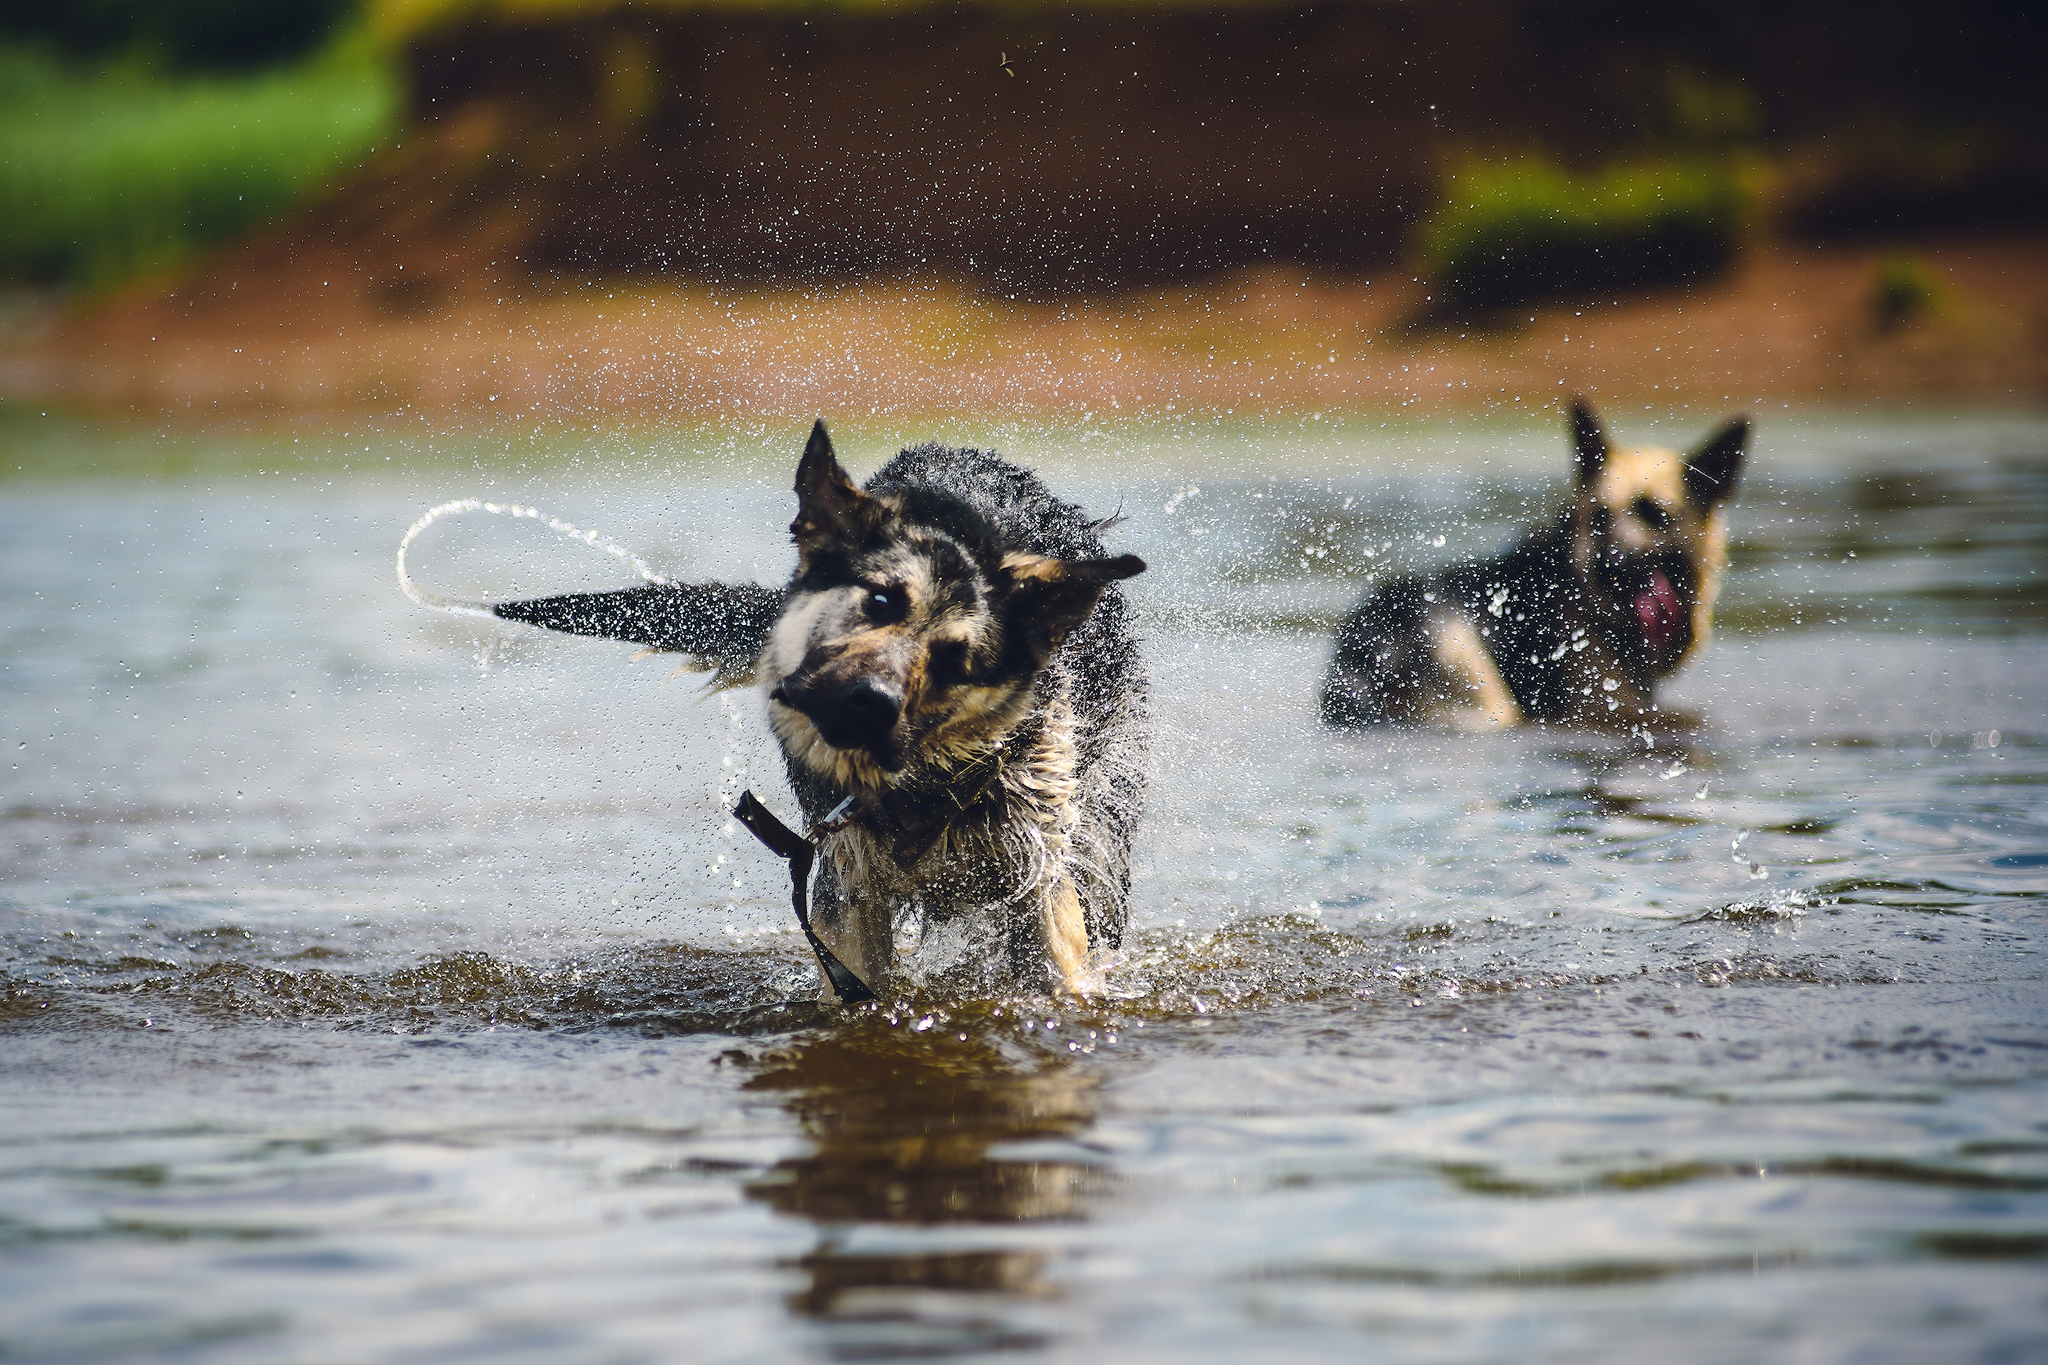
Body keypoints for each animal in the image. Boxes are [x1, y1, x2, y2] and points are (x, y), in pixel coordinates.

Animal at [487, 421, 1146, 998]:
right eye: (879, 601)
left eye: (956, 660)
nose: (868, 704)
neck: (919, 788)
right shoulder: (849, 886)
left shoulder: (1038, 872)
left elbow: (1059, 971)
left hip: (1098, 842)